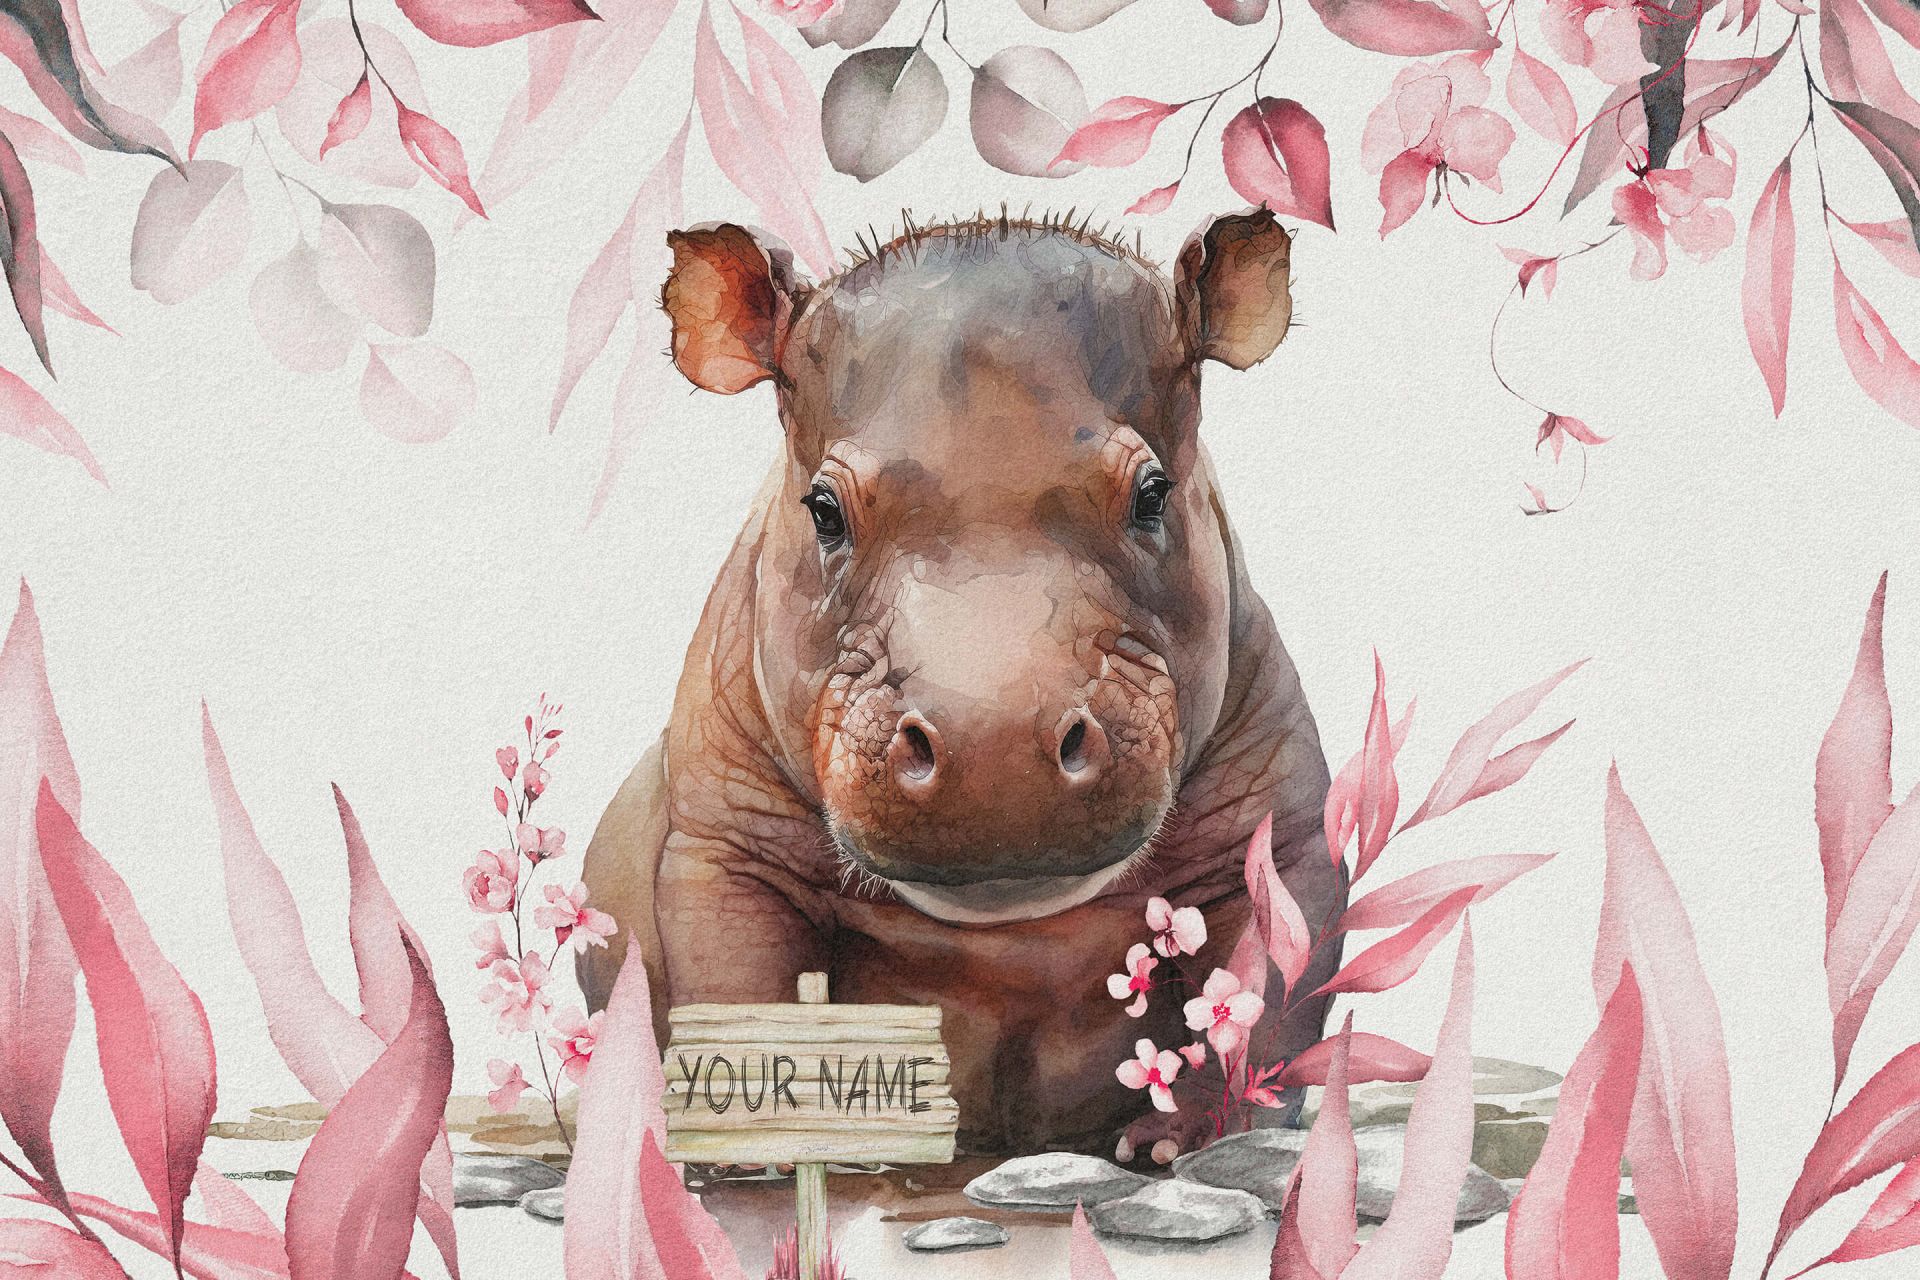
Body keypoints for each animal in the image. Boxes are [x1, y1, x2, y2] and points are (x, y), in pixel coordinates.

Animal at [580, 208, 1345, 1158]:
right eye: (822, 509)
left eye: (1154, 494)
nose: (996, 750)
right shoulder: (725, 845)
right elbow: (739, 989)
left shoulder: (1281, 826)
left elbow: (1262, 993)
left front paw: (1180, 1144)